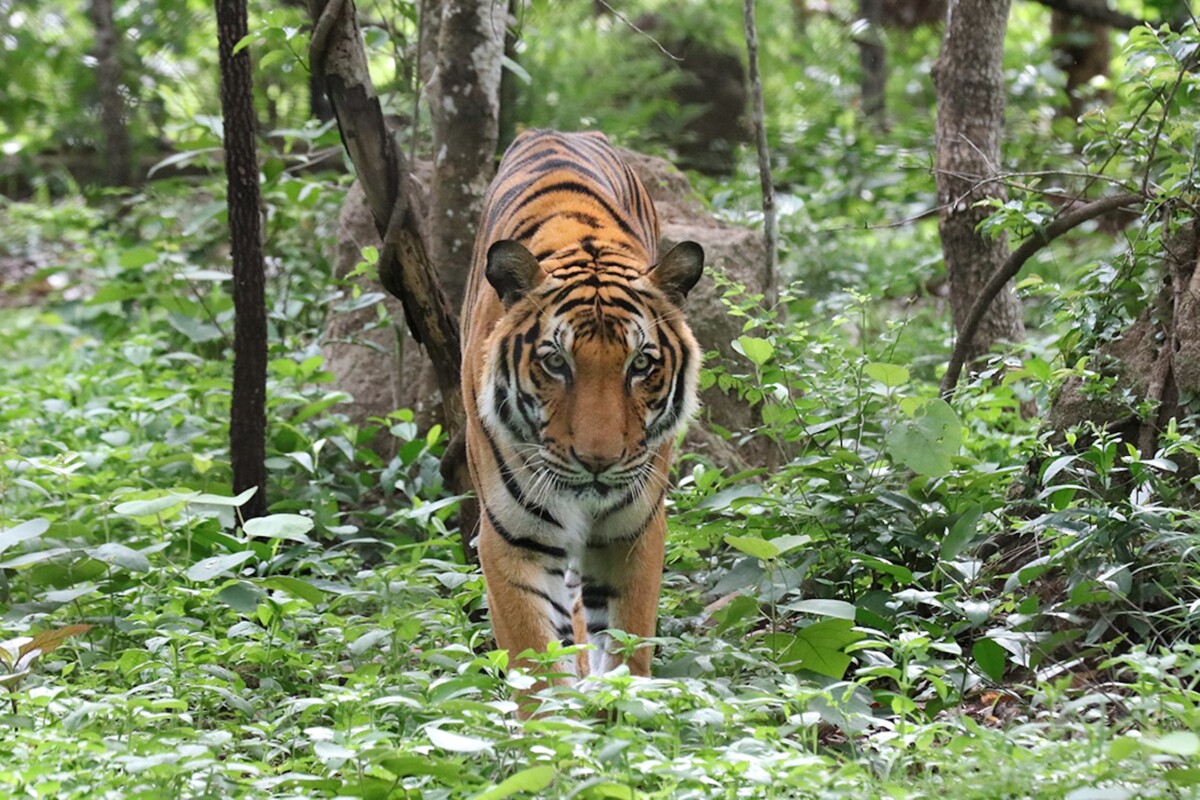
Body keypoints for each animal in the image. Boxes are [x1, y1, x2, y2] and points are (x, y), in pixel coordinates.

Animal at [459, 129, 704, 700]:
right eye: (556, 362)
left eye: (641, 364)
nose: (598, 461)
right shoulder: (512, 541)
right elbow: (536, 669)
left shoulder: (633, 533)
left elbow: (627, 651)